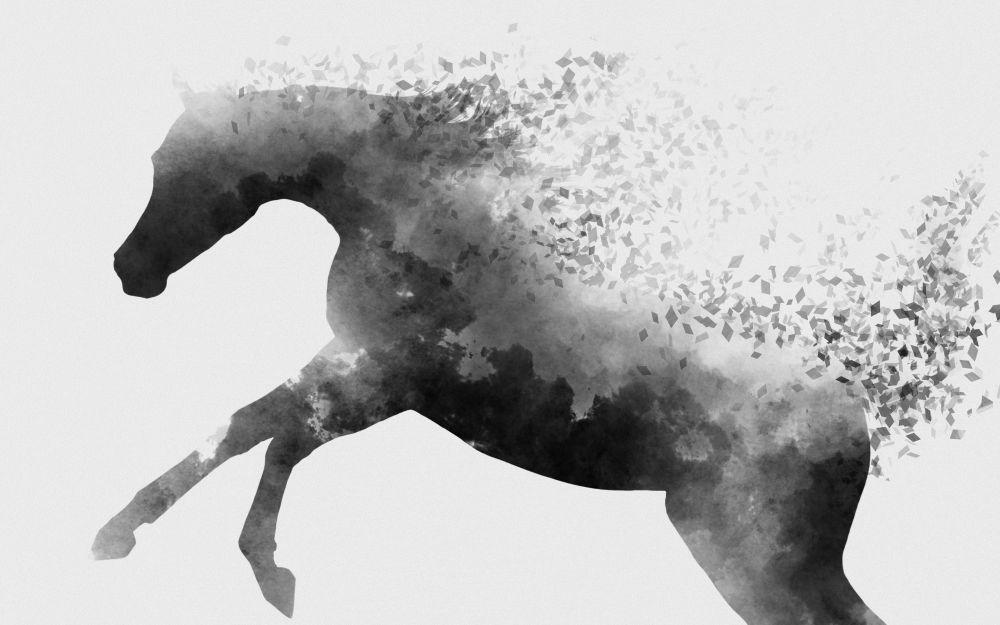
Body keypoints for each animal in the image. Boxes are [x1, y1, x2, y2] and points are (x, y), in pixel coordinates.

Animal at [91, 74, 995, 624]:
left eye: (174, 159)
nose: (131, 271)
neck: (414, 209)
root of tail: (853, 423)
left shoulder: (378, 374)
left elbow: (268, 432)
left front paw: (217, 556)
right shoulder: (358, 366)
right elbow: (260, 430)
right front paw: (173, 545)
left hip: (751, 556)